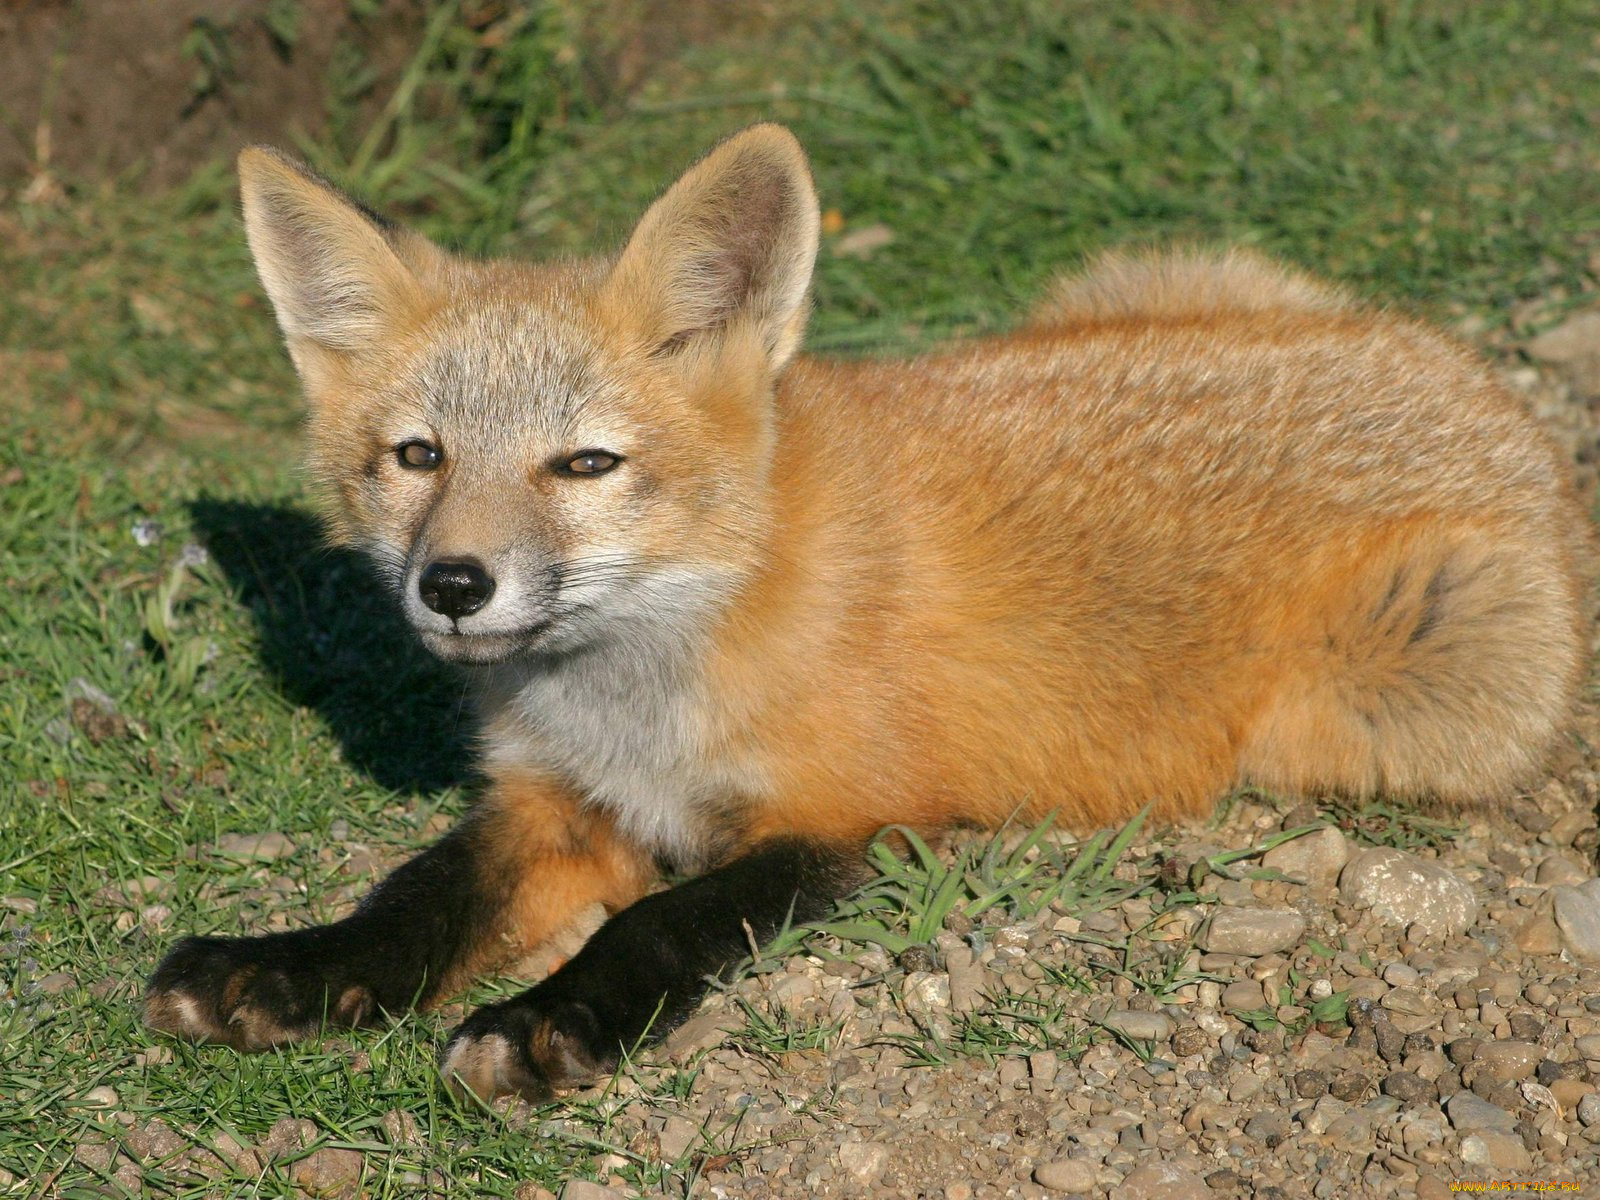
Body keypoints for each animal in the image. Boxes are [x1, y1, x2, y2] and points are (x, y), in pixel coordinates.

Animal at [146, 124, 1587, 1102]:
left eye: (585, 465)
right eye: (418, 458)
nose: (452, 586)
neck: (649, 695)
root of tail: (1485, 395)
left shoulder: (855, 819)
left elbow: (661, 919)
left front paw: (551, 1020)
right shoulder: (556, 803)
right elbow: (416, 896)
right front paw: (291, 968)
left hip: (1400, 690)